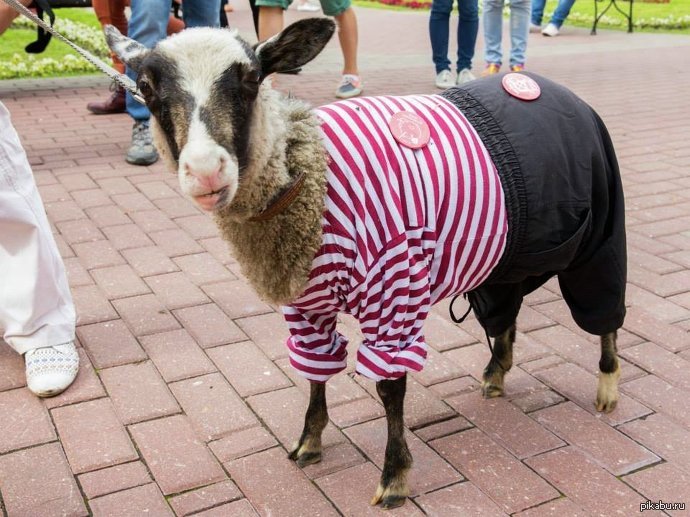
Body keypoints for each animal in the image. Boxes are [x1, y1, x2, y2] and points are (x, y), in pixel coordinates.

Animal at [106, 19, 624, 508]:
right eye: (146, 86)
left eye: (252, 78)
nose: (206, 171)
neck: (310, 171)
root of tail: (552, 87)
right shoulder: (304, 302)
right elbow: (314, 369)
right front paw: (308, 443)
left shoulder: (395, 286)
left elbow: (389, 387)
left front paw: (394, 479)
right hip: (504, 258)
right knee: (507, 315)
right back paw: (496, 375)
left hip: (599, 231)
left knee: (605, 314)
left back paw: (608, 389)